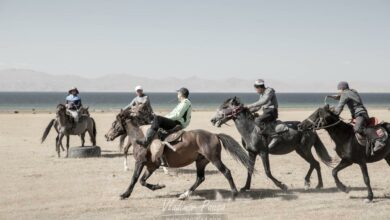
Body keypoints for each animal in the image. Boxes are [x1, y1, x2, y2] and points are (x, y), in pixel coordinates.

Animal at [105, 109, 254, 200]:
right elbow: (142, 181)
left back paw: (234, 193)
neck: (140, 136)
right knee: (200, 178)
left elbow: (135, 178)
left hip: (214, 159)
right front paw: (158, 186)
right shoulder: (151, 166)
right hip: (201, 161)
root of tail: (215, 135)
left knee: (226, 172)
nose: (106, 136)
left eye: (114, 123)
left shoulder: (140, 162)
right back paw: (184, 195)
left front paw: (125, 194)